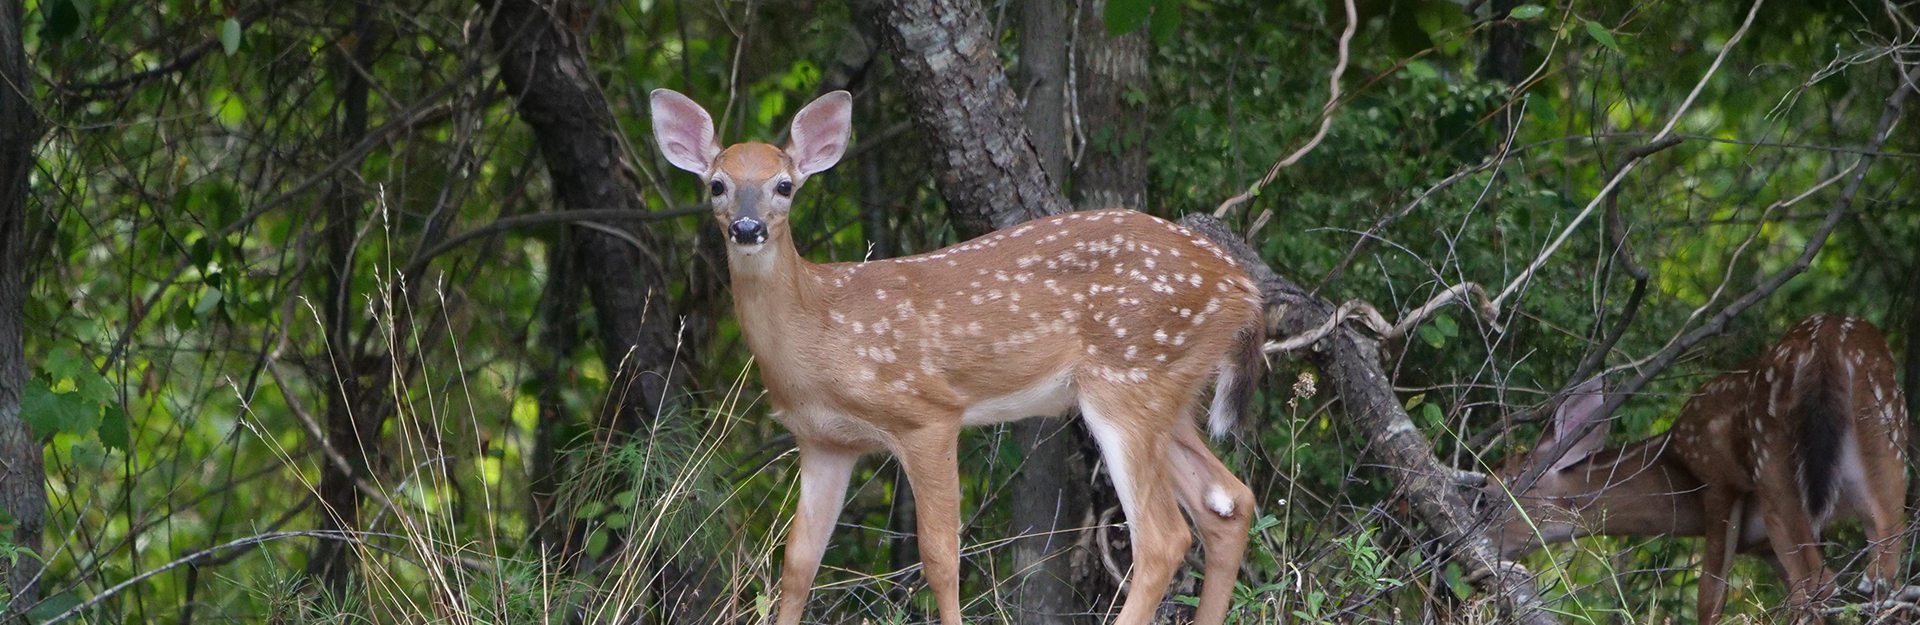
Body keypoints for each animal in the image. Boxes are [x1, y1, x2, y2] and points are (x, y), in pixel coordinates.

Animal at [652, 89, 1267, 625]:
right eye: (716, 185)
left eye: (784, 185)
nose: (746, 227)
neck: (821, 331)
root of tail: (1243, 287)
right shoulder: (824, 440)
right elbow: (799, 562)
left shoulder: (926, 412)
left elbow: (940, 557)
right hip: (1168, 391)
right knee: (1228, 502)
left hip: (1129, 381)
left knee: (1164, 536)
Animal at [1482, 314, 1904, 621]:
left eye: (1486, 495)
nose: (1468, 547)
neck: (1672, 457)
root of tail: (1829, 343)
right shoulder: (1762, 546)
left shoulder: (1716, 480)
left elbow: (1709, 596)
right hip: (1887, 442)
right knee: (1883, 573)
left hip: (1774, 462)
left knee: (1820, 584)